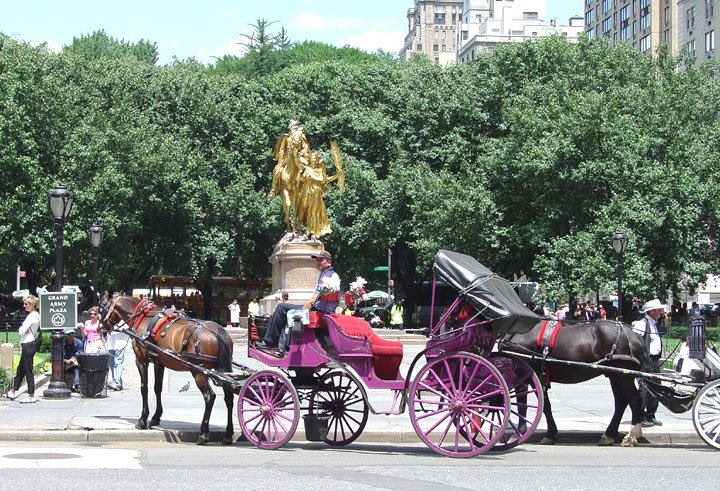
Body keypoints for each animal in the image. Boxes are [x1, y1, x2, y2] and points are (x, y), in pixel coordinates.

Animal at [100, 296, 235, 446]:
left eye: (102, 307)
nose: (101, 326)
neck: (143, 316)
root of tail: (219, 333)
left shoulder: (141, 360)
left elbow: (144, 388)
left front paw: (143, 419)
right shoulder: (159, 362)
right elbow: (157, 388)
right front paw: (155, 417)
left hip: (199, 372)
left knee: (209, 396)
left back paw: (203, 433)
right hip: (223, 371)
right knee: (229, 398)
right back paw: (228, 434)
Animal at [500, 320, 648, 446]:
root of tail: (634, 334)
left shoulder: (522, 375)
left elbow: (522, 405)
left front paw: (519, 433)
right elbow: (546, 405)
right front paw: (550, 434)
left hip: (623, 376)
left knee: (634, 400)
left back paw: (631, 436)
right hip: (615, 375)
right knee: (620, 402)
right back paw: (608, 435)